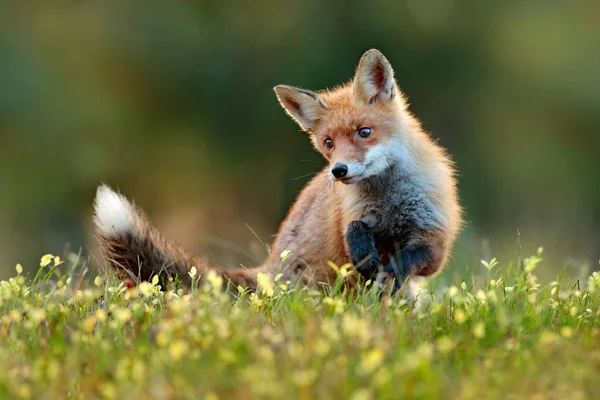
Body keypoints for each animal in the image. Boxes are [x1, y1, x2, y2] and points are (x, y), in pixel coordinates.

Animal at [94, 49, 462, 296]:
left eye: (364, 132)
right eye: (328, 143)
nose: (339, 171)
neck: (388, 199)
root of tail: (270, 268)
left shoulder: (434, 234)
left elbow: (420, 258)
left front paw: (393, 267)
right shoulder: (352, 218)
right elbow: (354, 230)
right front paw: (366, 253)